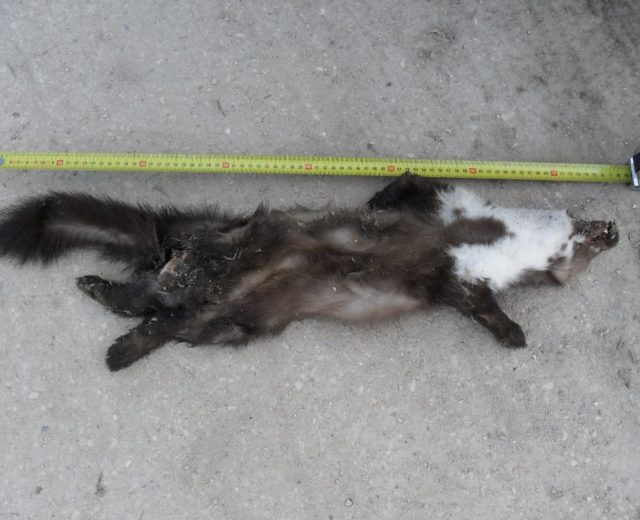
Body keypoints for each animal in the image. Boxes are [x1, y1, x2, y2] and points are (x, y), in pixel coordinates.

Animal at [0, 173, 618, 371]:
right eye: (587, 230)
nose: (614, 229)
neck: (491, 238)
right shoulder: (447, 218)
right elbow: (407, 182)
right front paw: (517, 334)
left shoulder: (463, 278)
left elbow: (483, 308)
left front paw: (513, 333)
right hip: (226, 249)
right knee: (167, 284)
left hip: (233, 324)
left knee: (160, 316)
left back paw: (113, 332)